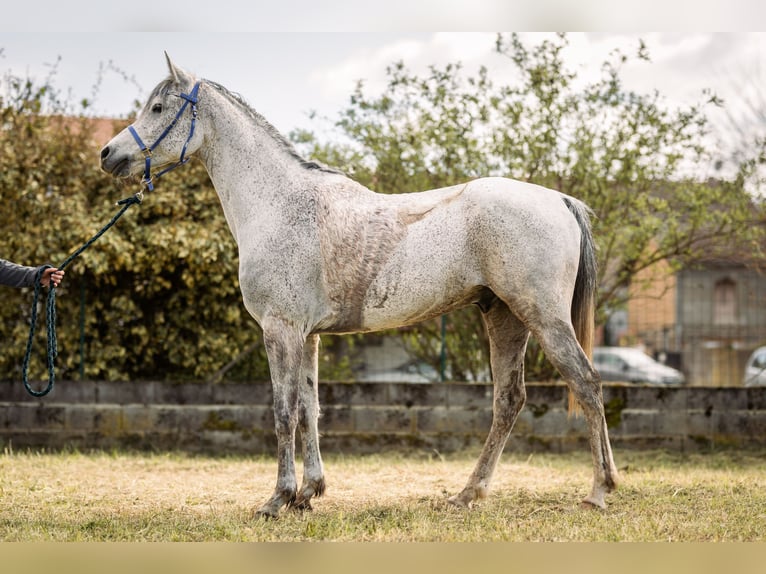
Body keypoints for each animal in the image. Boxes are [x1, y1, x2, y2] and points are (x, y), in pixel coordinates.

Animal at [100, 54, 618, 518]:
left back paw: (599, 491)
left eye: (159, 108)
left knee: (587, 384)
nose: (108, 154)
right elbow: (309, 409)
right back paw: (468, 494)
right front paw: (309, 493)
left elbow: (283, 410)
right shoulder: (307, 337)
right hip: (505, 317)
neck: (279, 204)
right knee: (509, 401)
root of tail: (559, 199)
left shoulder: (280, 330)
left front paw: (278, 499)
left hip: (542, 318)